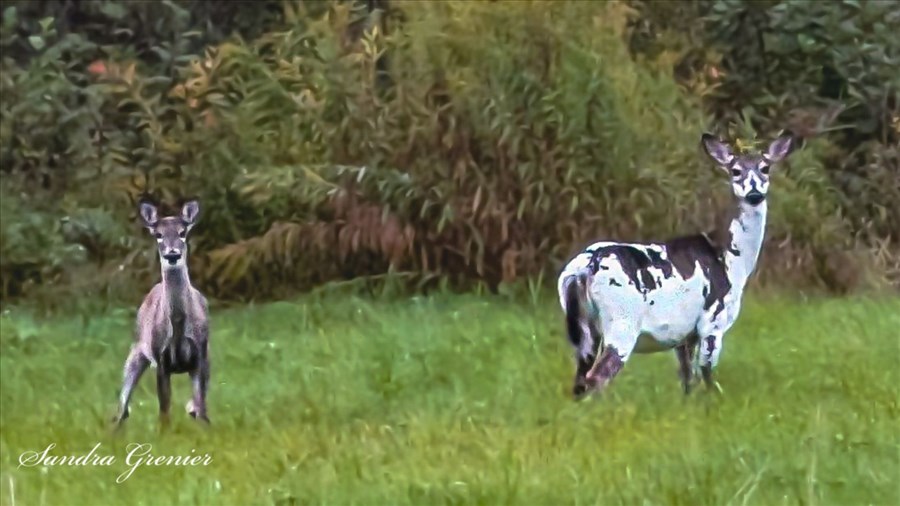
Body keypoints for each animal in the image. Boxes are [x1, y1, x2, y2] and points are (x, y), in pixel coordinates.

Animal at [111, 200, 210, 424]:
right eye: (158, 234)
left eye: (183, 232)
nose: (172, 254)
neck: (179, 323)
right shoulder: (160, 358)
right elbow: (164, 412)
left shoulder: (200, 354)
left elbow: (201, 408)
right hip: (136, 353)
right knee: (122, 408)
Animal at [560, 130, 800, 400]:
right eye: (735, 170)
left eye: (765, 168)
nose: (754, 194)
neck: (730, 260)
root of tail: (584, 267)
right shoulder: (713, 320)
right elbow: (707, 374)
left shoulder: (685, 336)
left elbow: (687, 380)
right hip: (622, 320)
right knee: (597, 377)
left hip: (585, 328)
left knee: (580, 381)